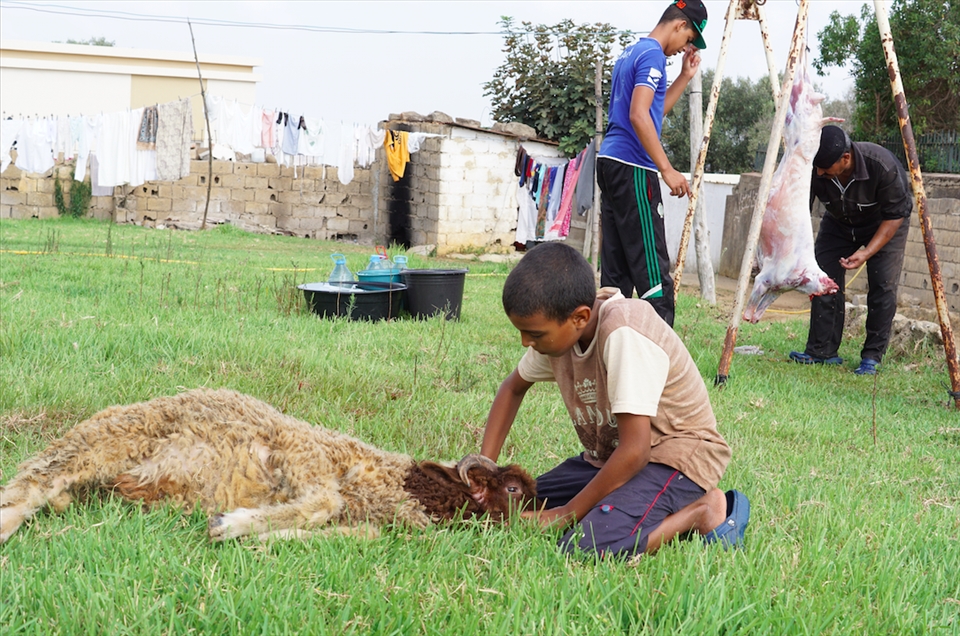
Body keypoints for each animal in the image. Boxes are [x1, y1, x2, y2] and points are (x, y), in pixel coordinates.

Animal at [0, 388, 537, 543]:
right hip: (106, 439)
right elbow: (323, 502)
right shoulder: (302, 452)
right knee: (29, 482)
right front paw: (230, 524)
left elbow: (344, 529)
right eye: (509, 492)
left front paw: (257, 534)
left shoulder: (367, 525)